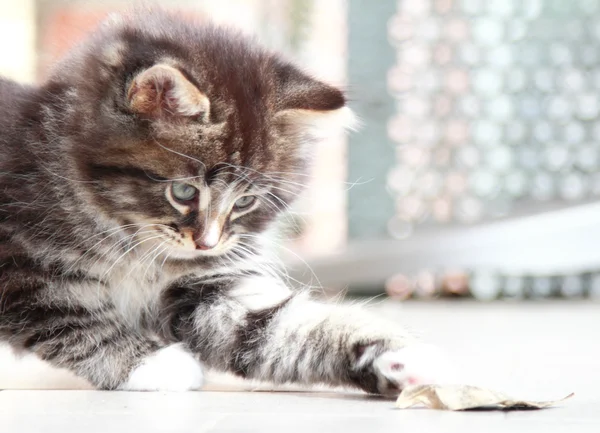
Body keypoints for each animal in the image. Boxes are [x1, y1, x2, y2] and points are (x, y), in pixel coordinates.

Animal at [0, 8, 440, 394]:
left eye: (245, 202)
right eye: (184, 192)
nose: (207, 243)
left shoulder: (209, 288)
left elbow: (282, 328)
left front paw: (401, 358)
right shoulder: (24, 269)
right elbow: (75, 318)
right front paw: (151, 363)